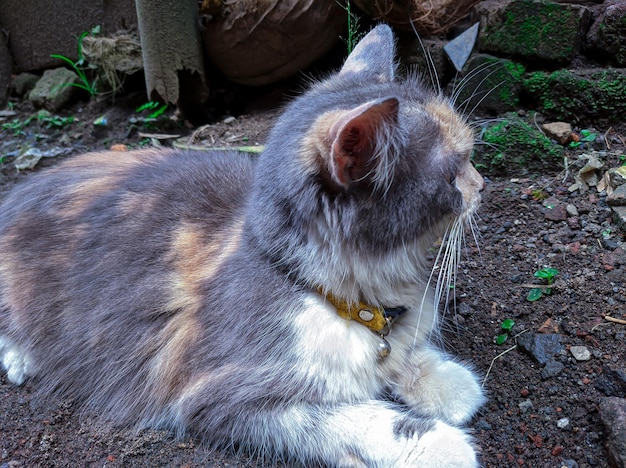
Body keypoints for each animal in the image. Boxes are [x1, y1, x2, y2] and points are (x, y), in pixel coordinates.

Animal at [0, 26, 482, 468]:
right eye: (454, 170)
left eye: (470, 157)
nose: (483, 184)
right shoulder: (220, 397)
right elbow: (351, 417)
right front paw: (440, 445)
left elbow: (401, 354)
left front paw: (447, 382)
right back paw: (22, 359)